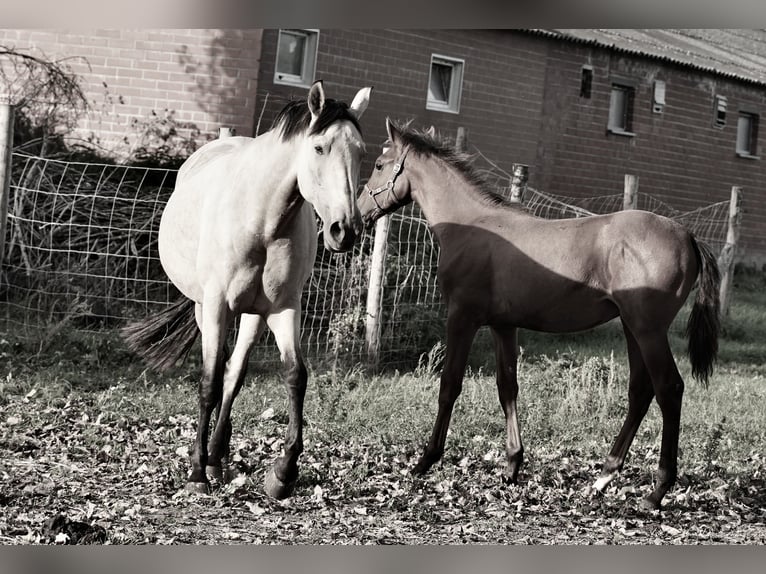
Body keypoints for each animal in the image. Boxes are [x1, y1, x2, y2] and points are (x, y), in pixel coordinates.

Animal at [124, 81, 374, 500]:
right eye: (319, 147)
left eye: (361, 151)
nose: (346, 230)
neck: (262, 221)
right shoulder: (215, 307)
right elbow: (208, 382)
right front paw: (196, 473)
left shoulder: (284, 308)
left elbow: (294, 376)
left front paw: (283, 474)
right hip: (205, 309)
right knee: (220, 371)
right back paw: (208, 460)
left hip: (253, 315)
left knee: (235, 373)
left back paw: (219, 457)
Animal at [358, 119, 720, 510]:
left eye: (379, 165)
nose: (358, 213)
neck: (472, 223)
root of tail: (688, 236)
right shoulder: (503, 325)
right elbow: (507, 387)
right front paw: (512, 466)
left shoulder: (462, 317)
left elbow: (450, 385)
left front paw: (426, 460)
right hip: (631, 326)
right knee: (641, 389)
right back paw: (603, 477)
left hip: (648, 329)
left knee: (669, 388)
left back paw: (657, 490)